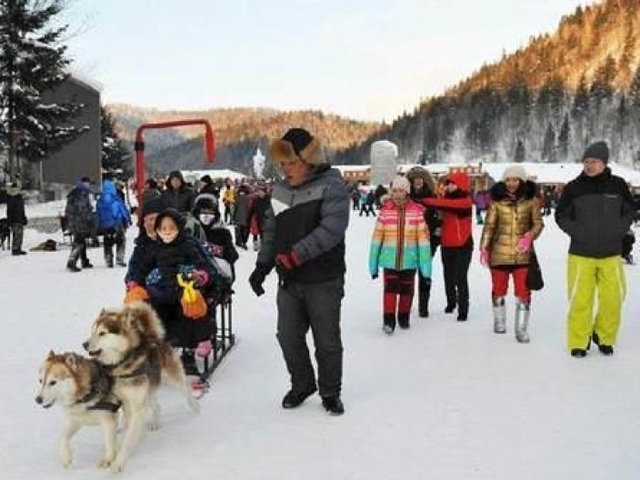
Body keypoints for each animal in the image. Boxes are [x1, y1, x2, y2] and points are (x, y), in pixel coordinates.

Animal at [85, 302, 199, 470]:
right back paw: (155, 423)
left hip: (172, 379)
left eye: (102, 333)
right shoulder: (124, 400)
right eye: (92, 331)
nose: (84, 344)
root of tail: (152, 336)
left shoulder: (137, 406)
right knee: (157, 406)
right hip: (148, 391)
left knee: (186, 388)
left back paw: (195, 407)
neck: (122, 363)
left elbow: (128, 439)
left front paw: (119, 462)